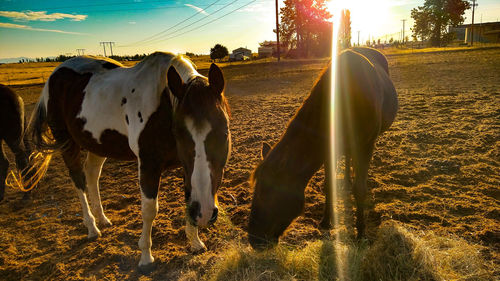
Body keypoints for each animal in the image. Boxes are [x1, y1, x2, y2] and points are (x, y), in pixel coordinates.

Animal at [26, 51, 231, 268]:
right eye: (179, 134)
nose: (204, 213)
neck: (164, 104)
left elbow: (188, 198)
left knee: (92, 175)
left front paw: (195, 242)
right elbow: (149, 210)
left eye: (224, 133)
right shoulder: (149, 165)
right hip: (67, 142)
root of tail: (54, 75)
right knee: (78, 180)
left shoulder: (187, 168)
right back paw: (92, 227)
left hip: (97, 145)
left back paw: (102, 218)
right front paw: (146, 257)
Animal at [249, 47, 398, 248]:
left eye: (266, 191)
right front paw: (327, 221)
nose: (253, 239)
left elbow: (360, 190)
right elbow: (329, 185)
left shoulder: (366, 145)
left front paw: (361, 233)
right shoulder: (328, 148)